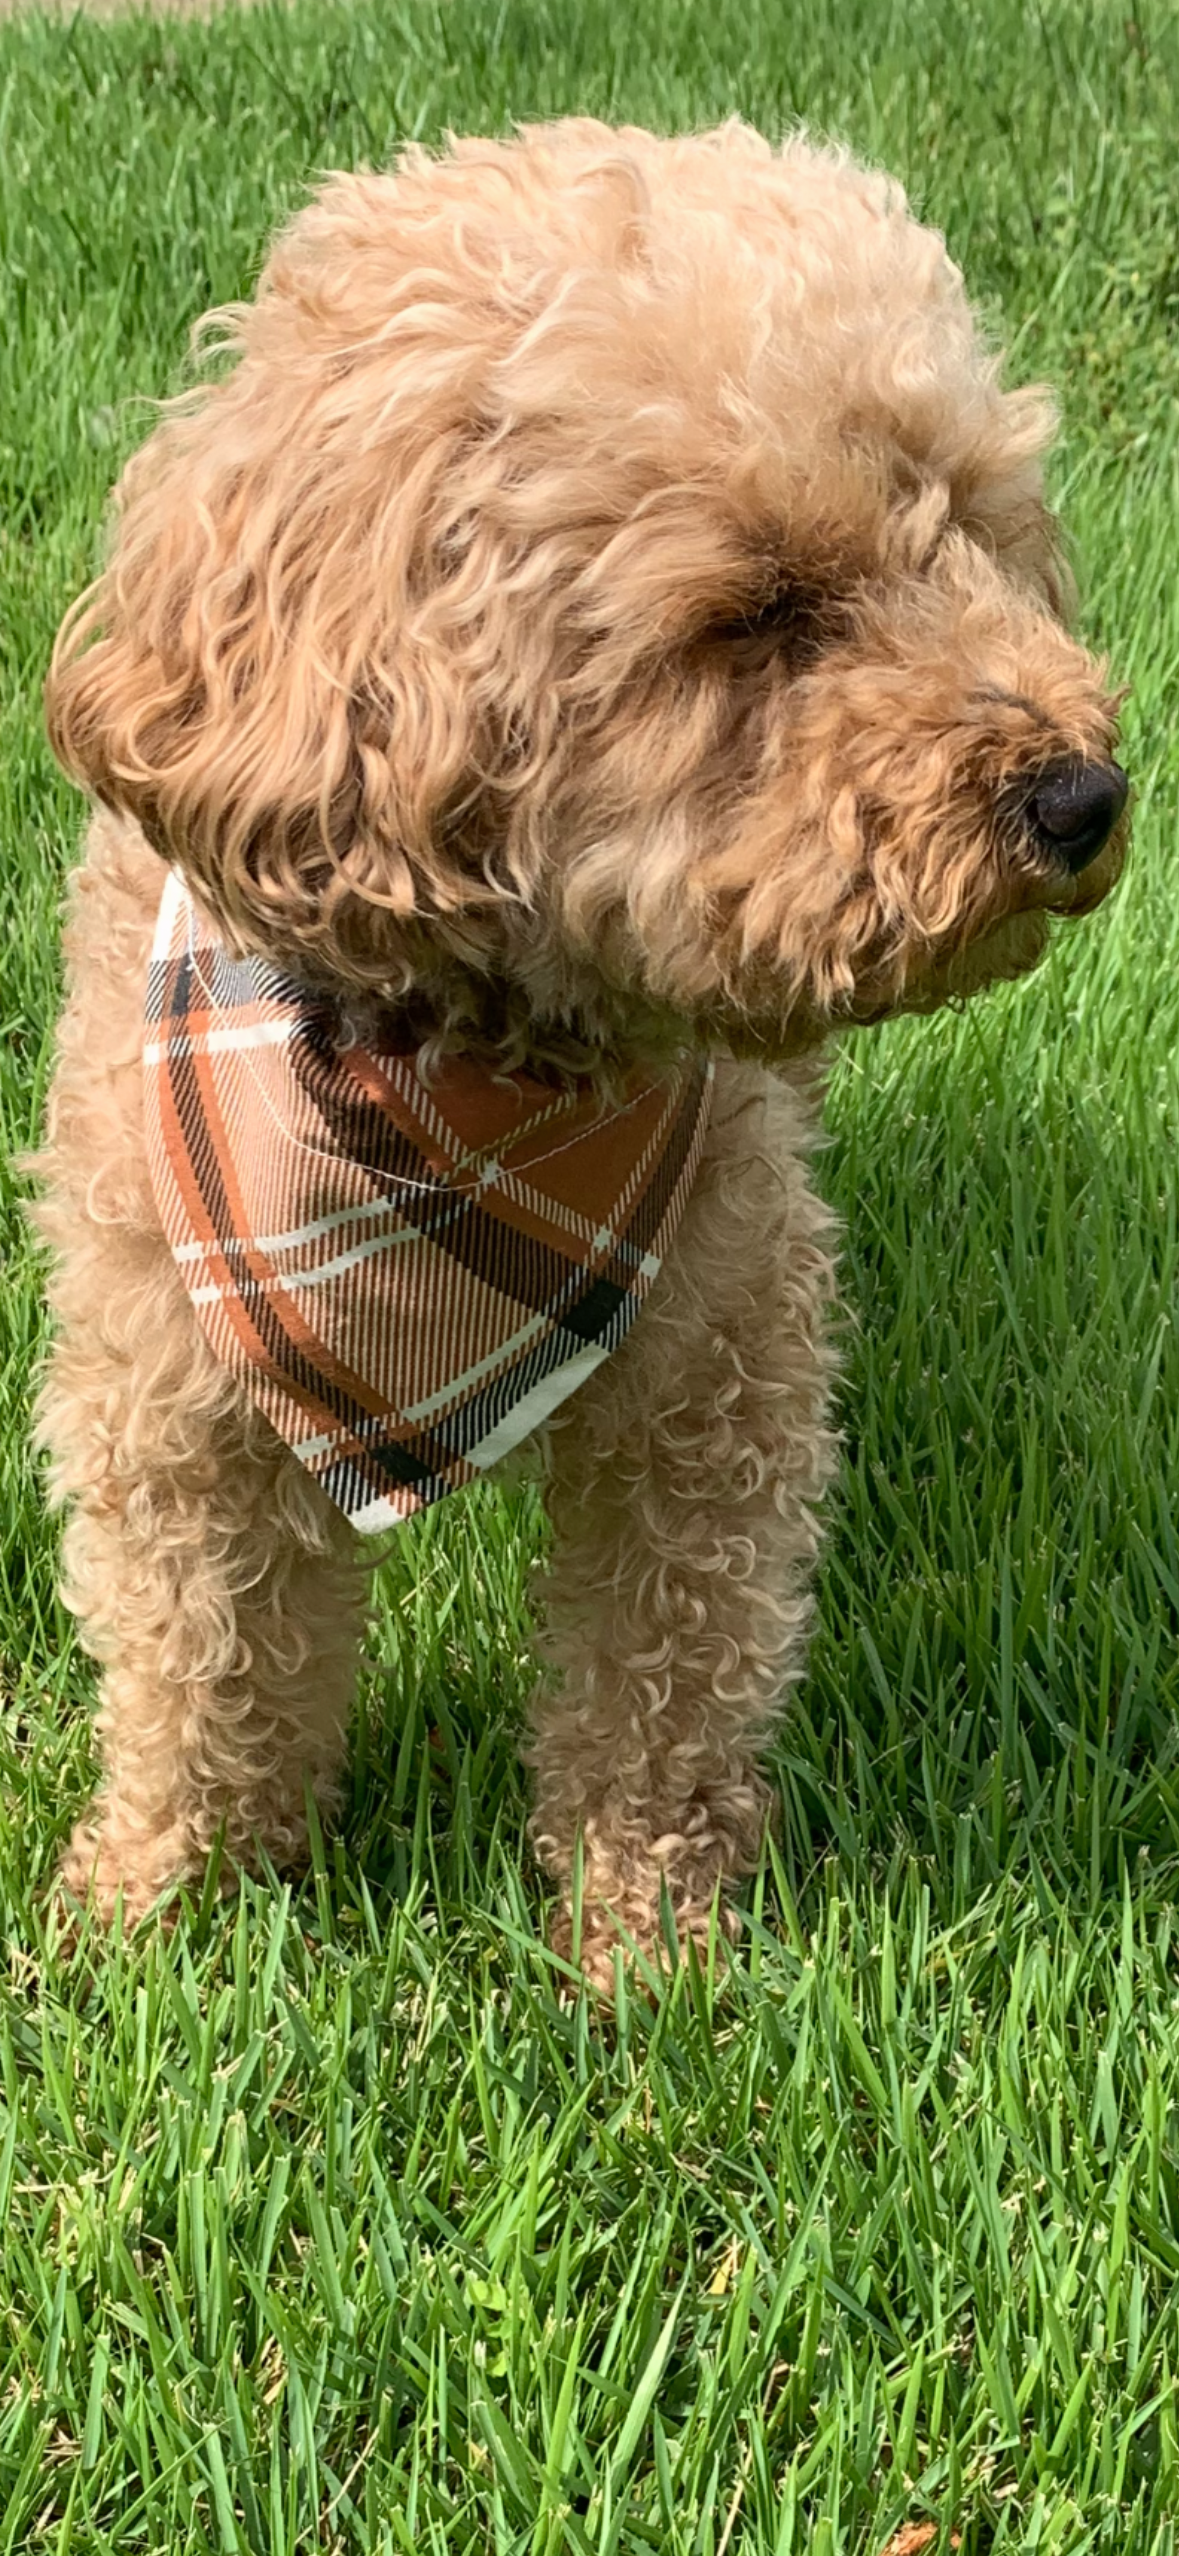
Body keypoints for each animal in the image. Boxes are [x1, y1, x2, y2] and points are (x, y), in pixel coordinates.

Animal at [34, 120, 1120, 1983]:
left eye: (970, 530)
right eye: (755, 610)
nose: (1082, 795)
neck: (459, 1091)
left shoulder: (711, 1380)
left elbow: (661, 1680)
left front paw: (648, 1949)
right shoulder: (164, 1378)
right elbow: (201, 1660)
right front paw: (159, 1904)